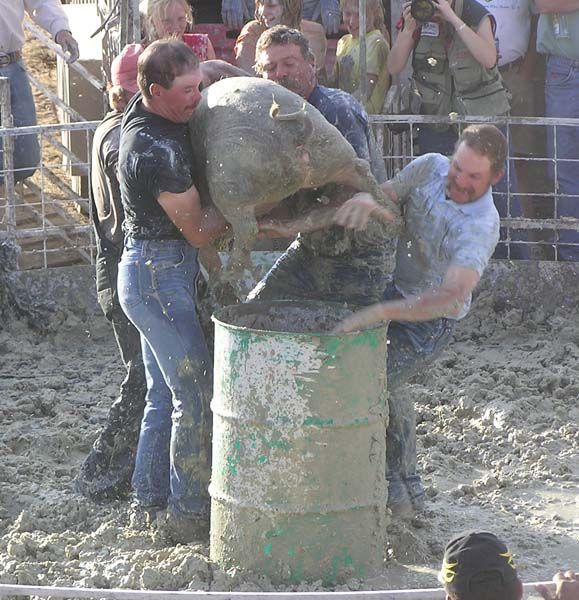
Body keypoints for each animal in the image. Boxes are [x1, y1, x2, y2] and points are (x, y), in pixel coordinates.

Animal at [189, 78, 398, 296]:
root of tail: (296, 133)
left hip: (229, 178)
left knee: (247, 229)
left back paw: (228, 276)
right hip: (334, 149)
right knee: (360, 170)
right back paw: (391, 217)